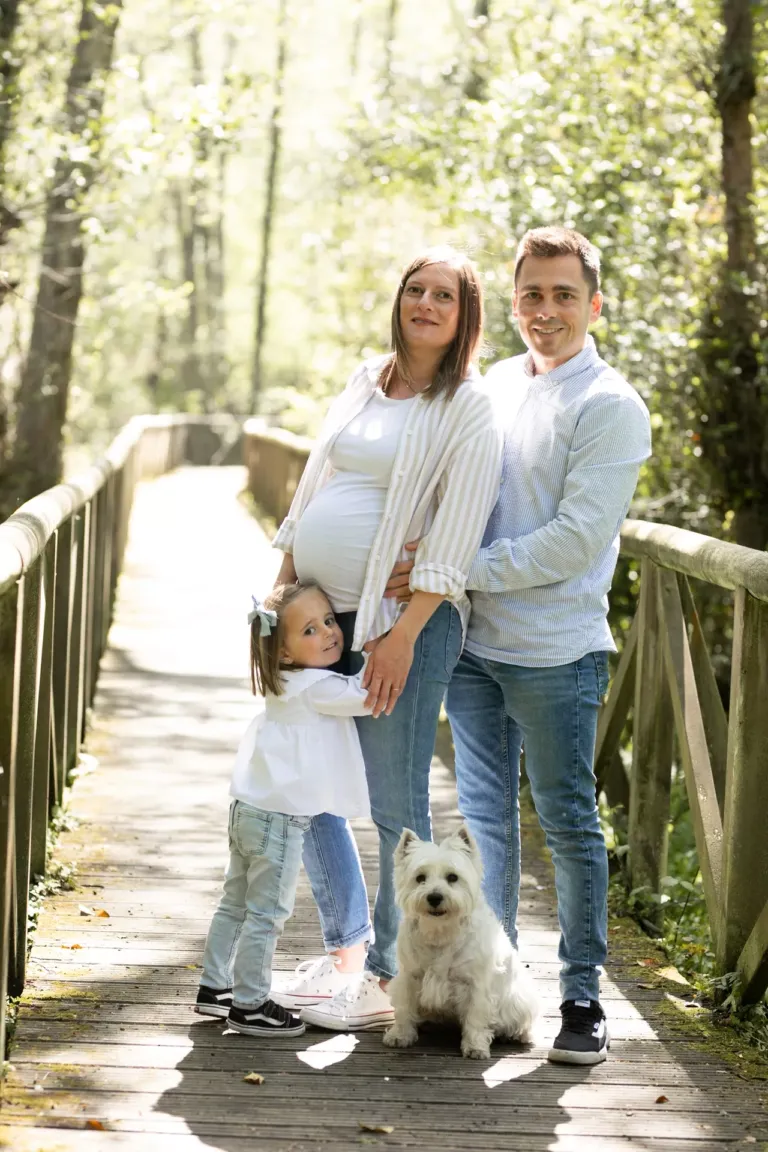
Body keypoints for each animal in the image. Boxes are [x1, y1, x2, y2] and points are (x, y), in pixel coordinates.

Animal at [382, 824, 541, 1055]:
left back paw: (519, 1035)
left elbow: (476, 1015)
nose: (434, 897)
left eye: (452, 877)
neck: (440, 930)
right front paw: (400, 1035)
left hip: (519, 999)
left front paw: (475, 1047)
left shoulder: (476, 983)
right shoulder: (410, 976)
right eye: (420, 878)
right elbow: (404, 1007)